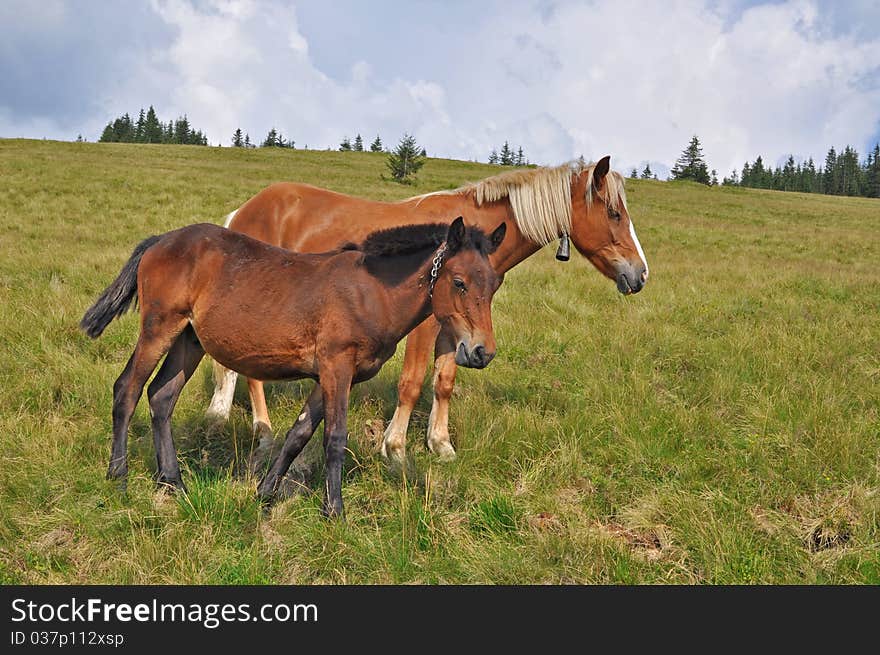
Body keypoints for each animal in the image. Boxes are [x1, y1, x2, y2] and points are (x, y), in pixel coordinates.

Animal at [82, 218, 508, 516]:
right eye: (459, 282)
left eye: (494, 284)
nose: (481, 352)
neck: (373, 292)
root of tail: (160, 241)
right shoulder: (337, 367)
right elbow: (334, 438)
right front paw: (334, 511)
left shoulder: (330, 376)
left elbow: (299, 434)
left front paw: (264, 494)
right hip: (159, 328)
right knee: (127, 390)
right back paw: (118, 477)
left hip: (189, 340)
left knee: (161, 397)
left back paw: (173, 482)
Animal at [206, 156, 648, 464]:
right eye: (614, 213)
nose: (640, 274)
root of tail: (243, 211)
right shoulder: (425, 327)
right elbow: (412, 383)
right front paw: (395, 447)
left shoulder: (457, 330)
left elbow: (444, 381)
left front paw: (440, 443)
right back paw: (263, 432)